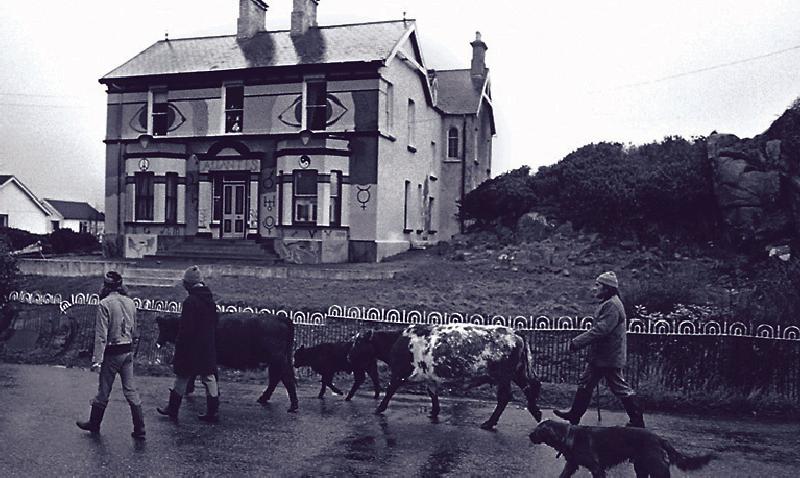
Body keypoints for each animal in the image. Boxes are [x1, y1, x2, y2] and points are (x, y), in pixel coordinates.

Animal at [155, 314, 298, 410]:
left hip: (277, 359)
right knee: (276, 378)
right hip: (275, 361)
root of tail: (280, 318)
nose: (158, 342)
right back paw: (264, 398)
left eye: (165, 327)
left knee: (285, 378)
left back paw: (293, 405)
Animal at [376, 324, 544, 430]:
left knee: (505, 397)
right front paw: (434, 412)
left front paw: (379, 408)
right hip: (517, 372)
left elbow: (390, 390)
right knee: (529, 388)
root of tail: (515, 332)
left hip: (504, 377)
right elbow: (433, 393)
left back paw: (489, 423)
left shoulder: (399, 373)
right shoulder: (430, 377)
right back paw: (536, 413)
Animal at [532, 420, 712, 476]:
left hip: (656, 466)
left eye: (538, 431)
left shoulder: (597, 468)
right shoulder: (571, 465)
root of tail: (659, 438)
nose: (529, 435)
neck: (570, 436)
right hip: (641, 466)